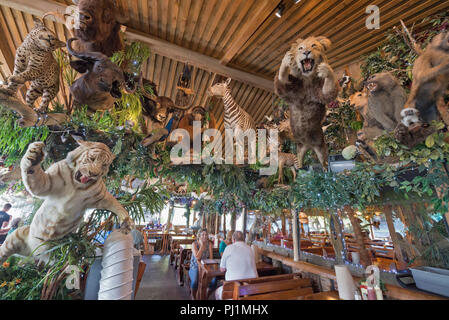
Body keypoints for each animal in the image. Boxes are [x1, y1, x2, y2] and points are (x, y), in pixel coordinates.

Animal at [0, 139, 134, 262]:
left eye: (104, 165)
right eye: (91, 159)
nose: (93, 174)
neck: (76, 185)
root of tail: (34, 255)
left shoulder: (101, 197)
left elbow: (117, 204)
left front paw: (127, 222)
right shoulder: (45, 184)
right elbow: (31, 170)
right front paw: (35, 153)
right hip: (15, 236)